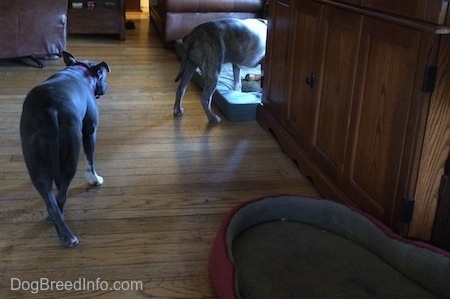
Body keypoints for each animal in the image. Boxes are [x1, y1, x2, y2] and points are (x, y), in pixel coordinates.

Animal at [19, 51, 111, 248]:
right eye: (104, 76)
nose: (106, 87)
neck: (80, 71)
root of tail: (49, 111)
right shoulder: (90, 130)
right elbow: (90, 159)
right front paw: (94, 179)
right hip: (70, 152)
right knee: (61, 194)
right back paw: (69, 237)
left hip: (35, 160)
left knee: (50, 200)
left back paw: (61, 230)